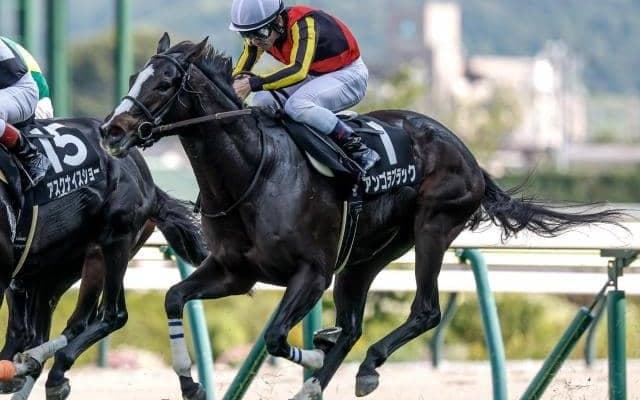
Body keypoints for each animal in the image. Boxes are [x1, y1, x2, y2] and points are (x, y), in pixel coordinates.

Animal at [0, 116, 208, 400]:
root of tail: (149, 182)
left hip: (109, 246)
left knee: (110, 315)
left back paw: (51, 373)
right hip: (59, 268)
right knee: (42, 330)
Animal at [100, 33, 623, 400]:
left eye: (165, 83)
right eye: (131, 80)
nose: (112, 130)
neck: (255, 170)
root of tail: (469, 156)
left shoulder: (311, 273)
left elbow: (275, 337)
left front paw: (315, 354)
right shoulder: (233, 271)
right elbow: (173, 297)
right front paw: (190, 382)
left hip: (432, 229)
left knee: (424, 310)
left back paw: (365, 368)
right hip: (364, 257)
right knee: (353, 325)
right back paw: (326, 376)